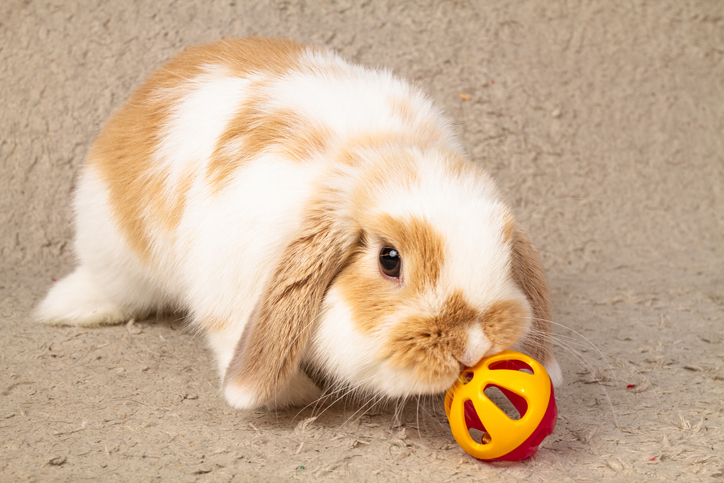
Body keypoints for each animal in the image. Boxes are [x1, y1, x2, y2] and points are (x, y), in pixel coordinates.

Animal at [36, 37, 562, 410]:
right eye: (389, 260)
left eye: (504, 253)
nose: (474, 345)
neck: (370, 158)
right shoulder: (229, 290)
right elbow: (230, 337)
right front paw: (293, 396)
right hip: (112, 245)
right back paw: (66, 308)